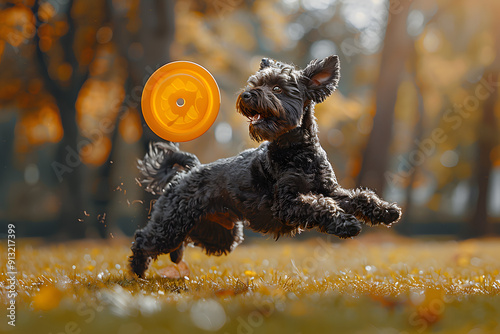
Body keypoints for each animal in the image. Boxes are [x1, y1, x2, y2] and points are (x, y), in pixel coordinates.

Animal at [130, 56, 402, 278]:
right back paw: (137, 272)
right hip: (173, 223)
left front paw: (386, 210)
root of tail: (189, 171)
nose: (247, 95)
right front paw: (346, 224)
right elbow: (320, 205)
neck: (298, 152)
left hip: (220, 234)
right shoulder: (287, 202)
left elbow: (359, 197)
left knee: (184, 240)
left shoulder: (329, 189)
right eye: (254, 84)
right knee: (143, 239)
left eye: (278, 88)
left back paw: (172, 257)